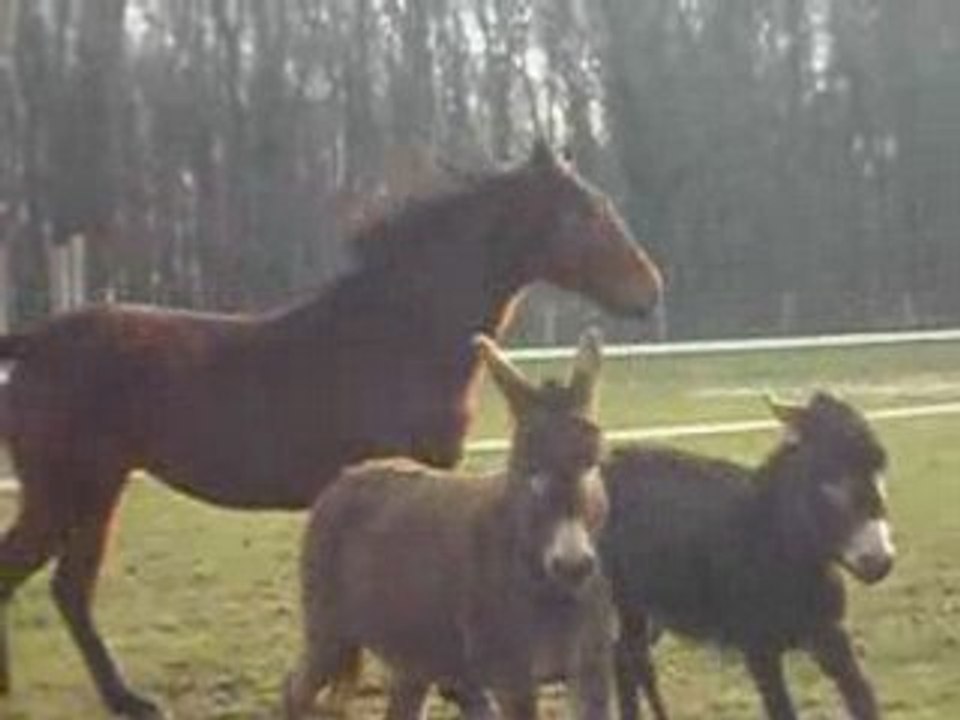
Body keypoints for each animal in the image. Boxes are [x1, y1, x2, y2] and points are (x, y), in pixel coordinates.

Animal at [283, 329, 618, 720]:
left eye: (593, 463)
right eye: (528, 468)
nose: (573, 564)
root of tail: (347, 476)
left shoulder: (591, 671)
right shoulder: (512, 677)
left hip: (414, 655)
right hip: (329, 631)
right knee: (294, 690)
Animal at [601, 393, 895, 720]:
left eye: (880, 469)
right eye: (827, 476)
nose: (880, 562)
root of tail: (613, 461)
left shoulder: (830, 634)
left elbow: (864, 699)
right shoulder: (759, 649)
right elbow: (782, 710)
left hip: (652, 609)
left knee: (627, 659)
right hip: (624, 602)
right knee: (631, 659)